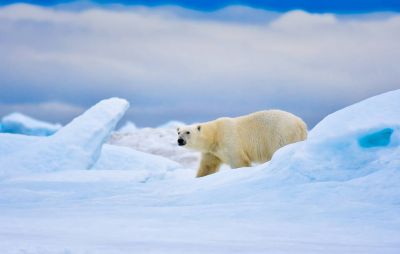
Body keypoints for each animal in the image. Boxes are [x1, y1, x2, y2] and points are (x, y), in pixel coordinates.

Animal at [177, 110, 308, 178]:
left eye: (188, 132)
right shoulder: (211, 151)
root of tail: (301, 123)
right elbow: (208, 166)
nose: (180, 140)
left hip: (280, 135)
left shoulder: (229, 139)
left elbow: (239, 161)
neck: (215, 134)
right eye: (178, 132)